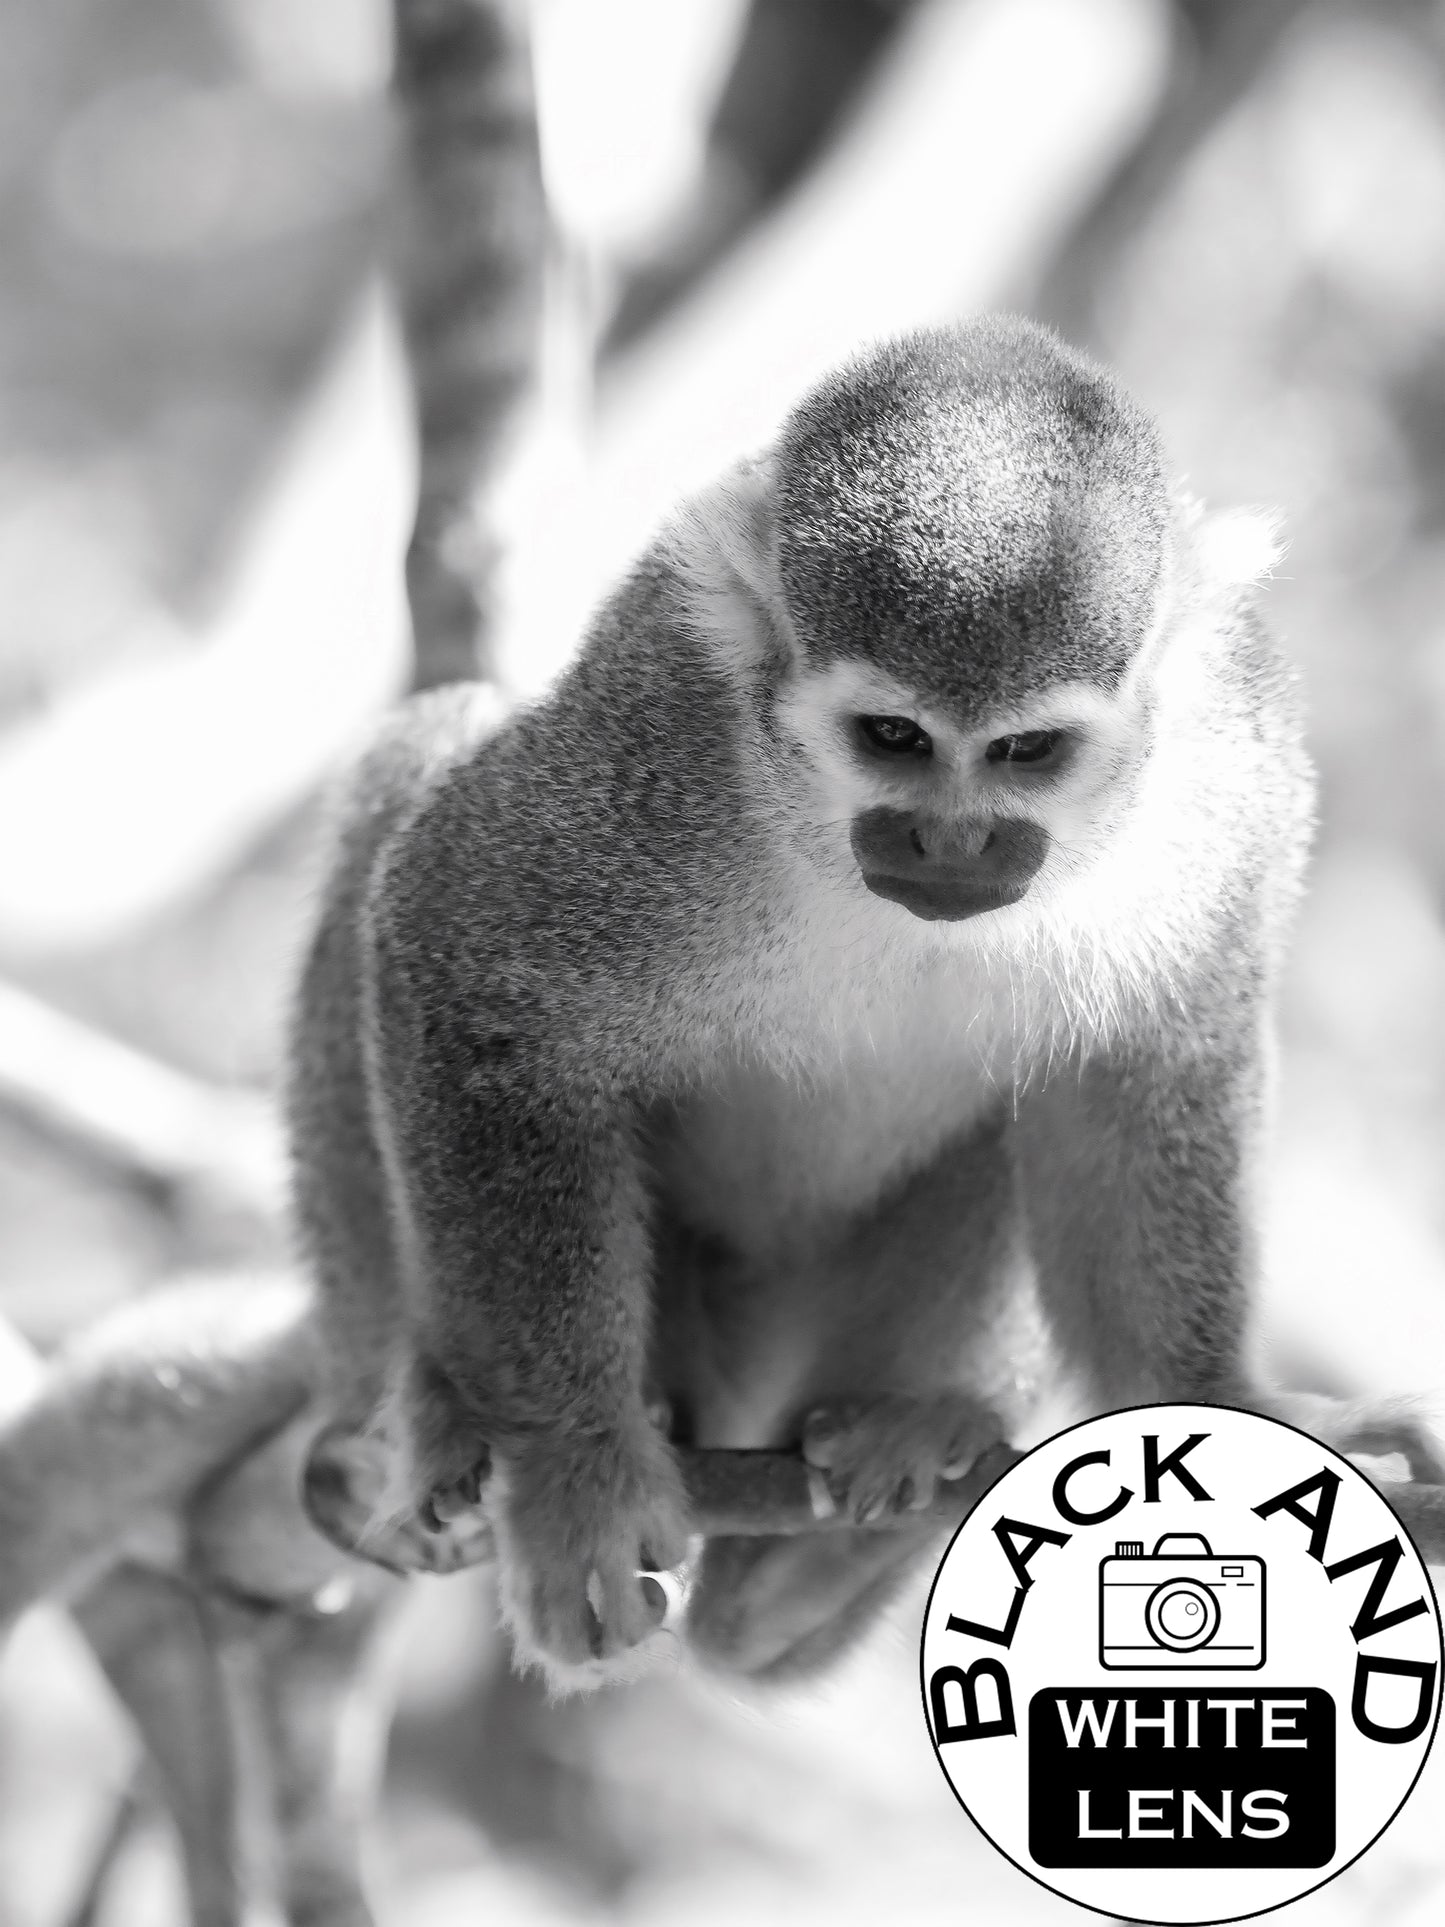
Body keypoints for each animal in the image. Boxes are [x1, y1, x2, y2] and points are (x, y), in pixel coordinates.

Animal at [289, 313, 1444, 1693]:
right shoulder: (659, 737)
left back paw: (854, 1507)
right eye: (893, 738)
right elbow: (466, 950)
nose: (948, 844)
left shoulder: (1238, 759)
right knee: (435, 747)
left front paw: (1222, 1398)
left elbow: (1149, 1067)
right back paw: (424, 1398)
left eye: (1024, 752)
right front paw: (573, 1464)